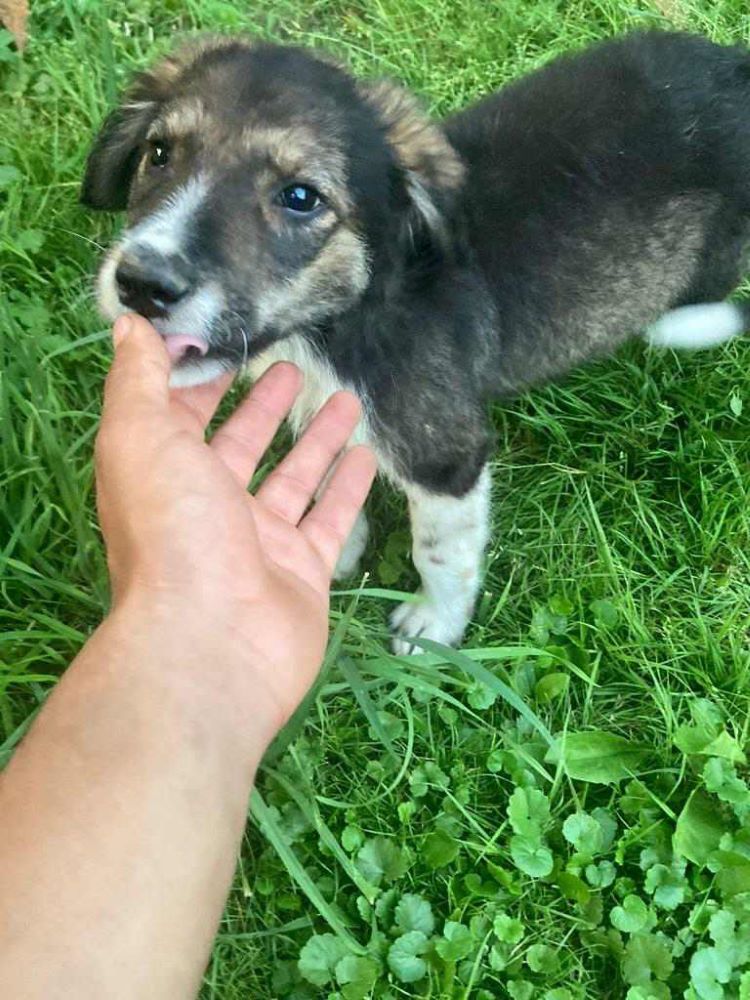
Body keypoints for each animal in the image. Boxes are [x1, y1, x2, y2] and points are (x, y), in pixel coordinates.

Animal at [81, 29, 750, 648]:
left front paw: (434, 628)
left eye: (300, 197)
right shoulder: (328, 402)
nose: (143, 284)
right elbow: (329, 468)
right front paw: (334, 546)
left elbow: (440, 552)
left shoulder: (446, 454)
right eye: (159, 153)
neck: (344, 319)